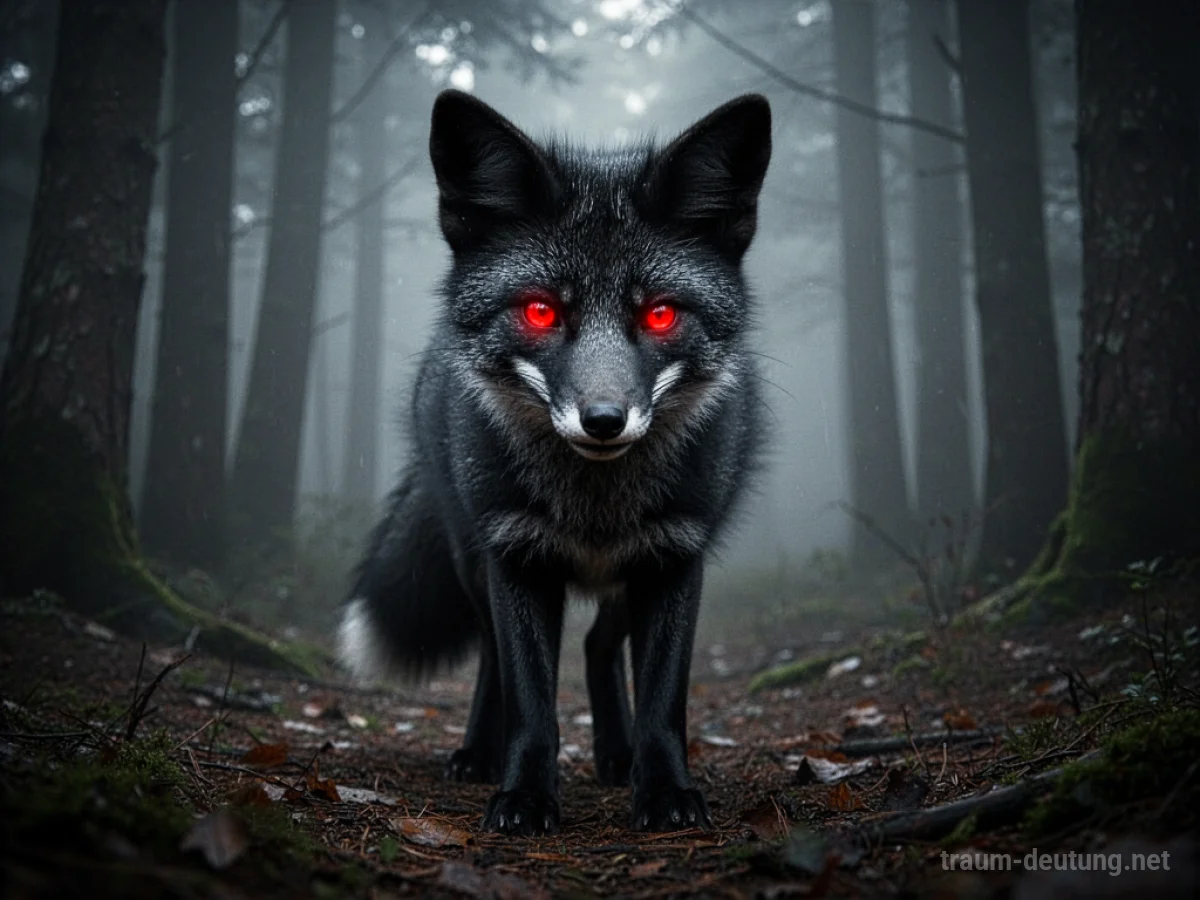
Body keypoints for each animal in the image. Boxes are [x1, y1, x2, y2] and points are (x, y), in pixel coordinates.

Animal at [337, 89, 772, 836]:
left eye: (660, 315)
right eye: (540, 312)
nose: (603, 419)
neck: (592, 507)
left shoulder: (675, 557)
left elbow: (664, 704)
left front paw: (664, 790)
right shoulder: (515, 556)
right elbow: (531, 706)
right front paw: (524, 796)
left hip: (630, 576)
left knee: (598, 646)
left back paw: (618, 755)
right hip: (470, 559)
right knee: (493, 657)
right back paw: (479, 753)